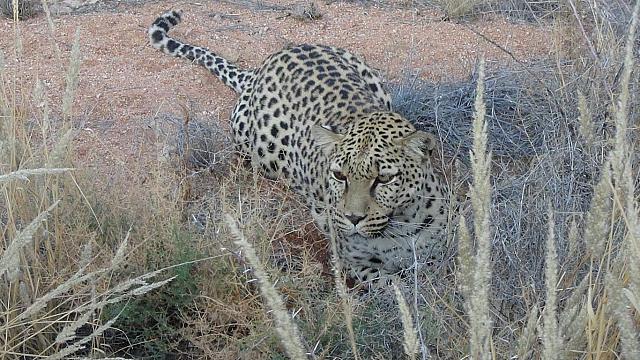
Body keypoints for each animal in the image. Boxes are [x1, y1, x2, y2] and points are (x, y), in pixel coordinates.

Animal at [148, 9, 452, 282]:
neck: (401, 225)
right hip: (254, 148)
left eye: (385, 178)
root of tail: (261, 68)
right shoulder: (358, 267)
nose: (352, 218)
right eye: (339, 175)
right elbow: (397, 286)